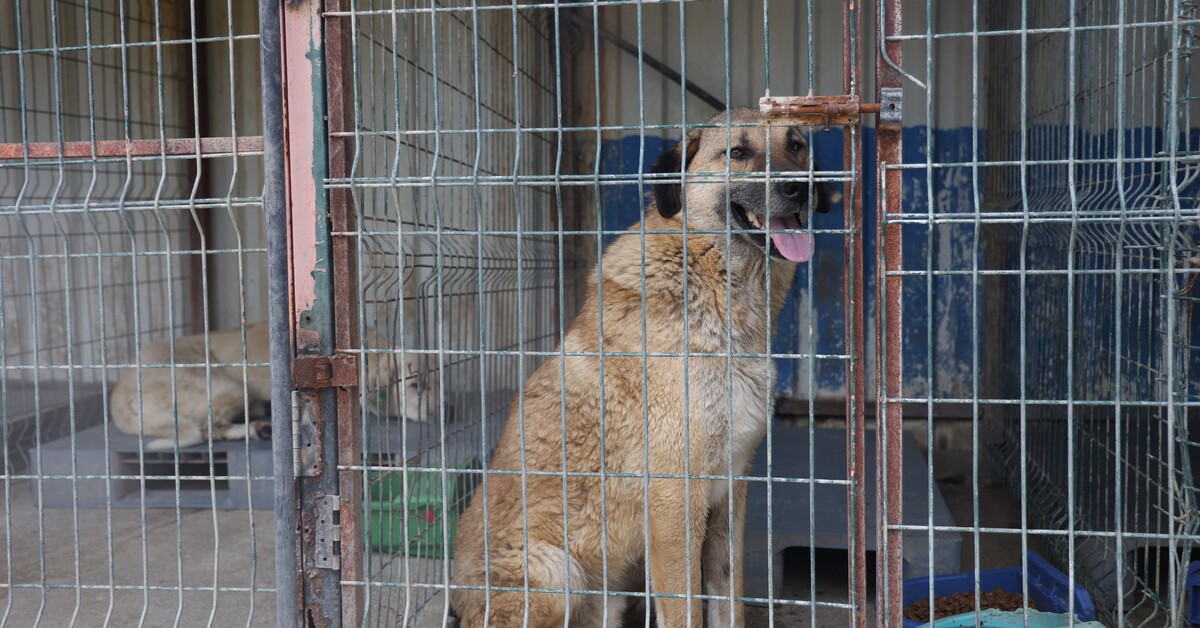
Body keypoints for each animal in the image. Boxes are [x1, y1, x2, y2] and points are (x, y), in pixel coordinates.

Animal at [109, 321, 441, 449]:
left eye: (437, 382)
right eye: (416, 385)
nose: (445, 413)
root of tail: (119, 391)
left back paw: (260, 428)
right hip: (227, 387)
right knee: (208, 428)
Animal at [451, 109, 835, 628]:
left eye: (797, 146)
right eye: (737, 152)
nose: (801, 186)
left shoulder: (730, 493)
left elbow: (728, 598)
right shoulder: (675, 503)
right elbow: (687, 609)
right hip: (554, 574)